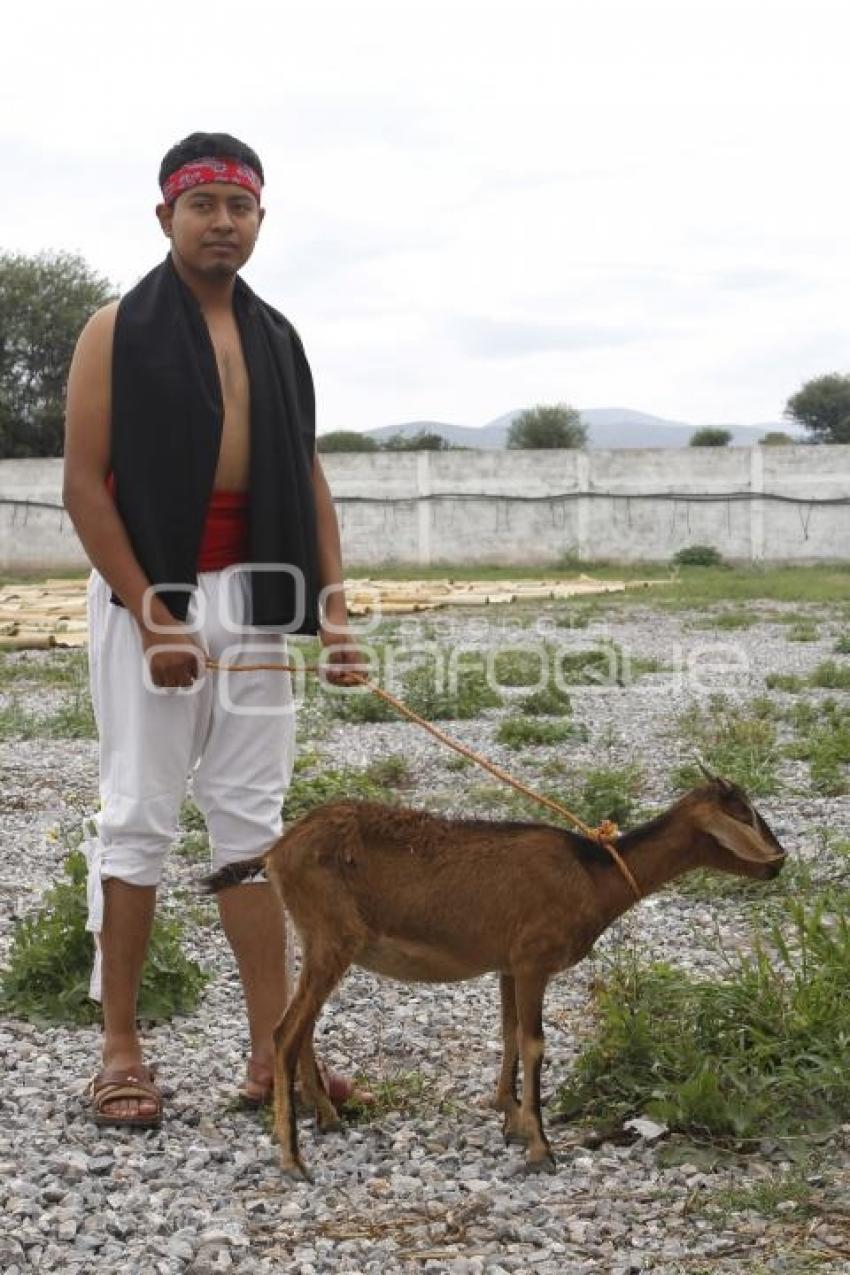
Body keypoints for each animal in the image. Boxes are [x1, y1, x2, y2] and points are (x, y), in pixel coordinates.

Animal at [202, 770, 790, 1178]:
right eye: (743, 813)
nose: (780, 861)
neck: (592, 875)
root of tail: (278, 849)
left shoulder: (509, 965)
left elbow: (508, 1035)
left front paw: (511, 1119)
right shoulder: (533, 960)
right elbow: (534, 1043)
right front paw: (540, 1146)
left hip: (320, 944)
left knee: (300, 1027)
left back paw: (326, 1116)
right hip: (331, 940)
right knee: (285, 1032)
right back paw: (292, 1158)